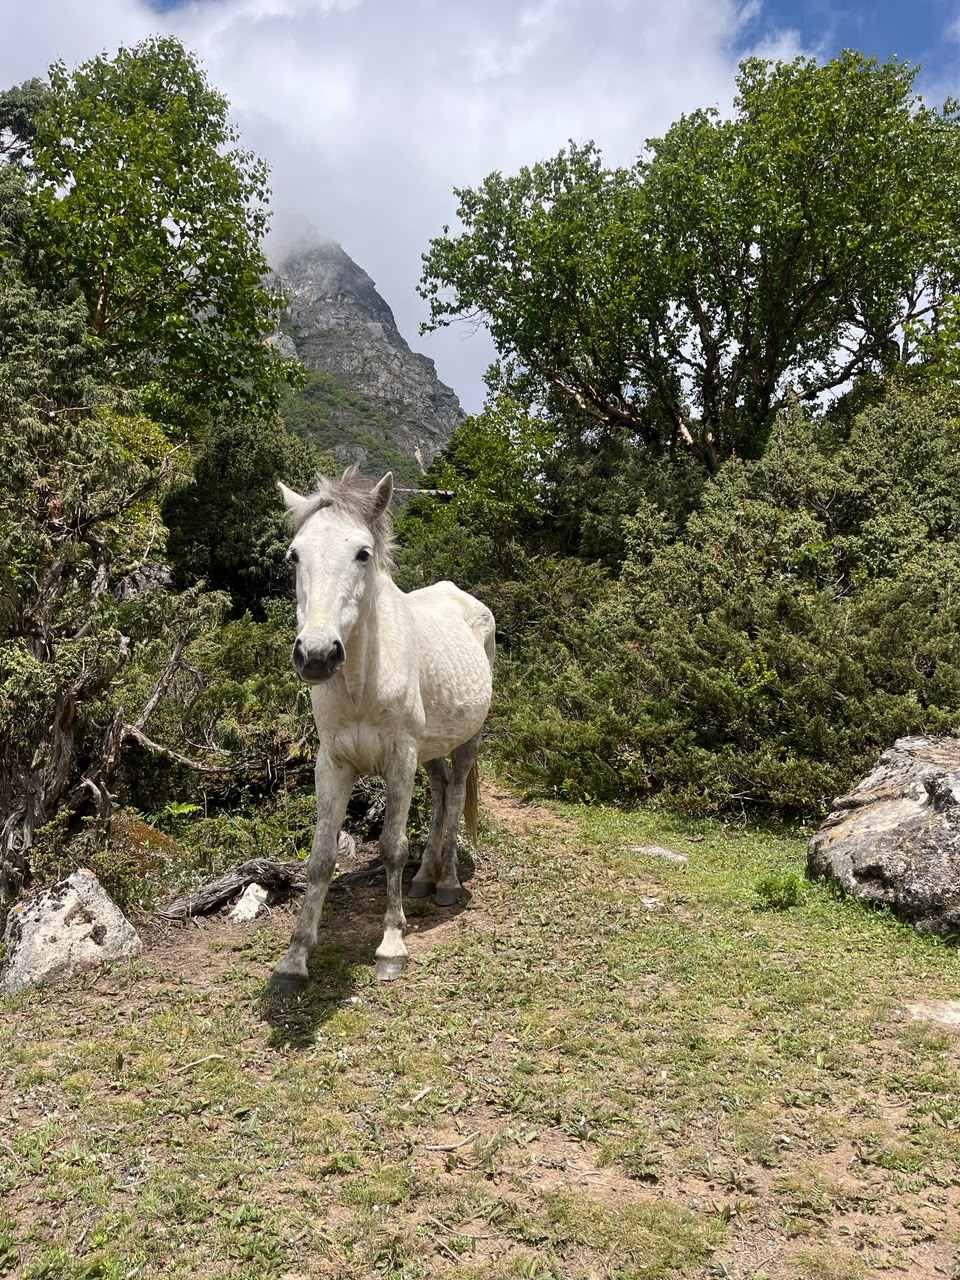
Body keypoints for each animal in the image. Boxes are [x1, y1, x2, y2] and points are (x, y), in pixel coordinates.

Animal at [266, 469, 496, 994]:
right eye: (294, 555)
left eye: (362, 553)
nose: (316, 654)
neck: (361, 683)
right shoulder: (332, 764)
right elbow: (320, 858)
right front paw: (294, 959)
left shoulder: (399, 757)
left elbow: (392, 846)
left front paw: (391, 946)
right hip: (431, 750)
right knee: (440, 793)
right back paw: (424, 879)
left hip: (465, 742)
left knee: (455, 798)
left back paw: (446, 884)